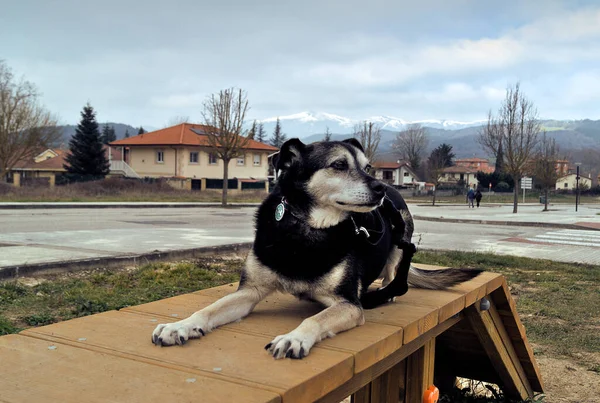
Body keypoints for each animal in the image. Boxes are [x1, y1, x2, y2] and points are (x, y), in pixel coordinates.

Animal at [151, 137, 482, 358]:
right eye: (339, 165)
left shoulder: (348, 304)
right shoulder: (248, 292)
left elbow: (315, 318)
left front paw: (294, 338)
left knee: (393, 274)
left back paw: (385, 292)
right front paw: (180, 326)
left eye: (368, 167)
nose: (380, 188)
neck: (310, 227)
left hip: (402, 239)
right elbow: (208, 309)